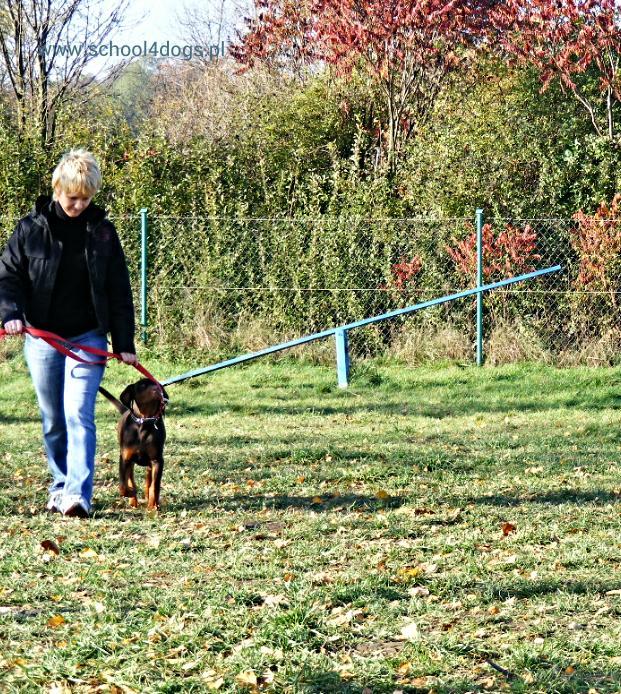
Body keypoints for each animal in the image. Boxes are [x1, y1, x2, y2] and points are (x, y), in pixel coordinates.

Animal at [98, 380, 168, 512]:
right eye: (142, 386)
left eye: (156, 384)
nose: (156, 388)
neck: (144, 422)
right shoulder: (125, 458)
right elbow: (123, 485)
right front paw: (131, 493)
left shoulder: (157, 460)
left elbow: (155, 485)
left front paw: (153, 505)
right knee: (131, 479)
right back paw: (133, 500)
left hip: (150, 463)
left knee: (148, 480)